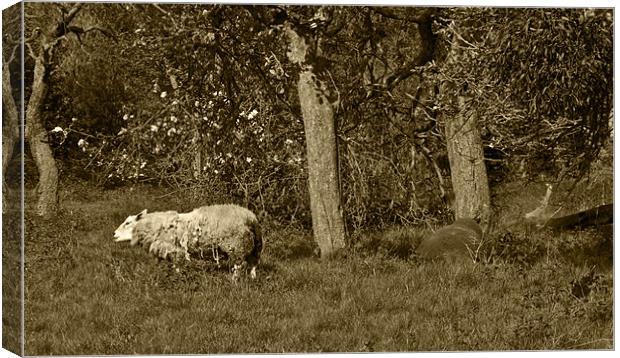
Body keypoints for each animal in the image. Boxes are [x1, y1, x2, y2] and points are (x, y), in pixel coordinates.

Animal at [114, 204, 262, 280]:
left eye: (128, 223)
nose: (114, 234)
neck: (154, 225)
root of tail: (250, 217)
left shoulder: (174, 249)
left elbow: (177, 265)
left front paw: (177, 278)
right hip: (253, 245)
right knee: (253, 262)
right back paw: (253, 277)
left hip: (236, 244)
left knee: (240, 264)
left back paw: (234, 280)